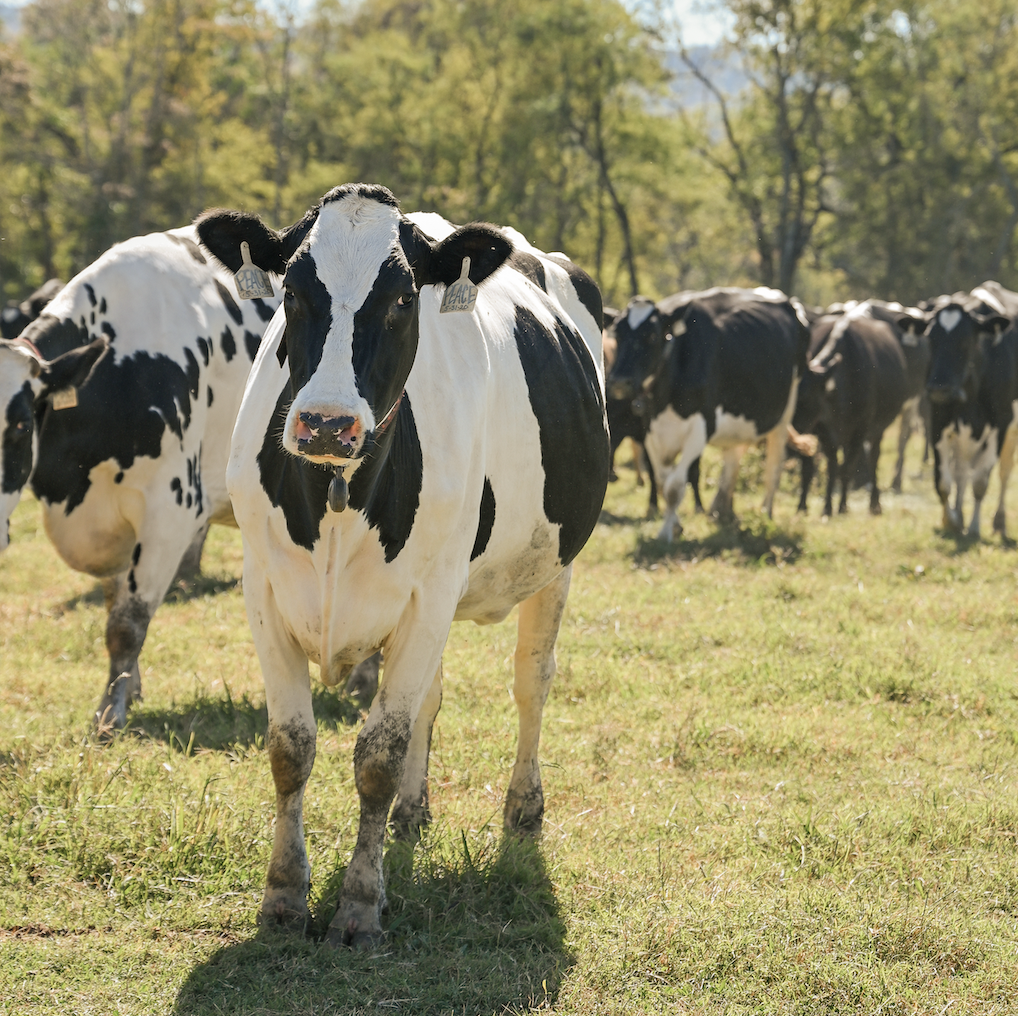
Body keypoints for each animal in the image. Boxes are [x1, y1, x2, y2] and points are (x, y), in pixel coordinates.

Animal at [0, 226, 280, 732]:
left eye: (19, 425)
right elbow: (115, 605)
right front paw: (128, 687)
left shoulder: (170, 512)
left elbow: (126, 624)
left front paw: (110, 712)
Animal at [194, 183, 610, 948]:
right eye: (292, 291)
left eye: (402, 299)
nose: (327, 424)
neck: (337, 494)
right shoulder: (263, 588)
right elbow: (292, 747)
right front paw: (284, 896)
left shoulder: (429, 595)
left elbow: (378, 754)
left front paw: (360, 903)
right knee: (432, 699)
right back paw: (414, 814)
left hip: (553, 566)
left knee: (532, 682)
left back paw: (523, 809)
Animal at [607, 288, 809, 542]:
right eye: (617, 334)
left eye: (652, 336)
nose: (618, 382)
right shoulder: (651, 430)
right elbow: (662, 480)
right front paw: (675, 525)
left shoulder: (699, 428)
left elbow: (674, 487)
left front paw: (665, 533)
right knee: (733, 459)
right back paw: (722, 511)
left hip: (783, 415)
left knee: (774, 466)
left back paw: (766, 513)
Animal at [792, 302, 909, 516]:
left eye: (804, 399)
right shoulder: (823, 431)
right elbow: (826, 467)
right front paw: (821, 507)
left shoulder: (860, 431)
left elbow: (846, 469)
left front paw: (842, 506)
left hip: (876, 430)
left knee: (872, 459)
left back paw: (874, 503)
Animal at [923, 281, 1018, 538]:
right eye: (931, 339)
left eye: (965, 340)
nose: (939, 386)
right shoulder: (938, 419)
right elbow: (943, 482)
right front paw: (952, 520)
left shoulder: (1001, 424)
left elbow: (981, 482)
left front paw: (974, 528)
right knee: (961, 471)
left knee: (1004, 472)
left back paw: (999, 522)